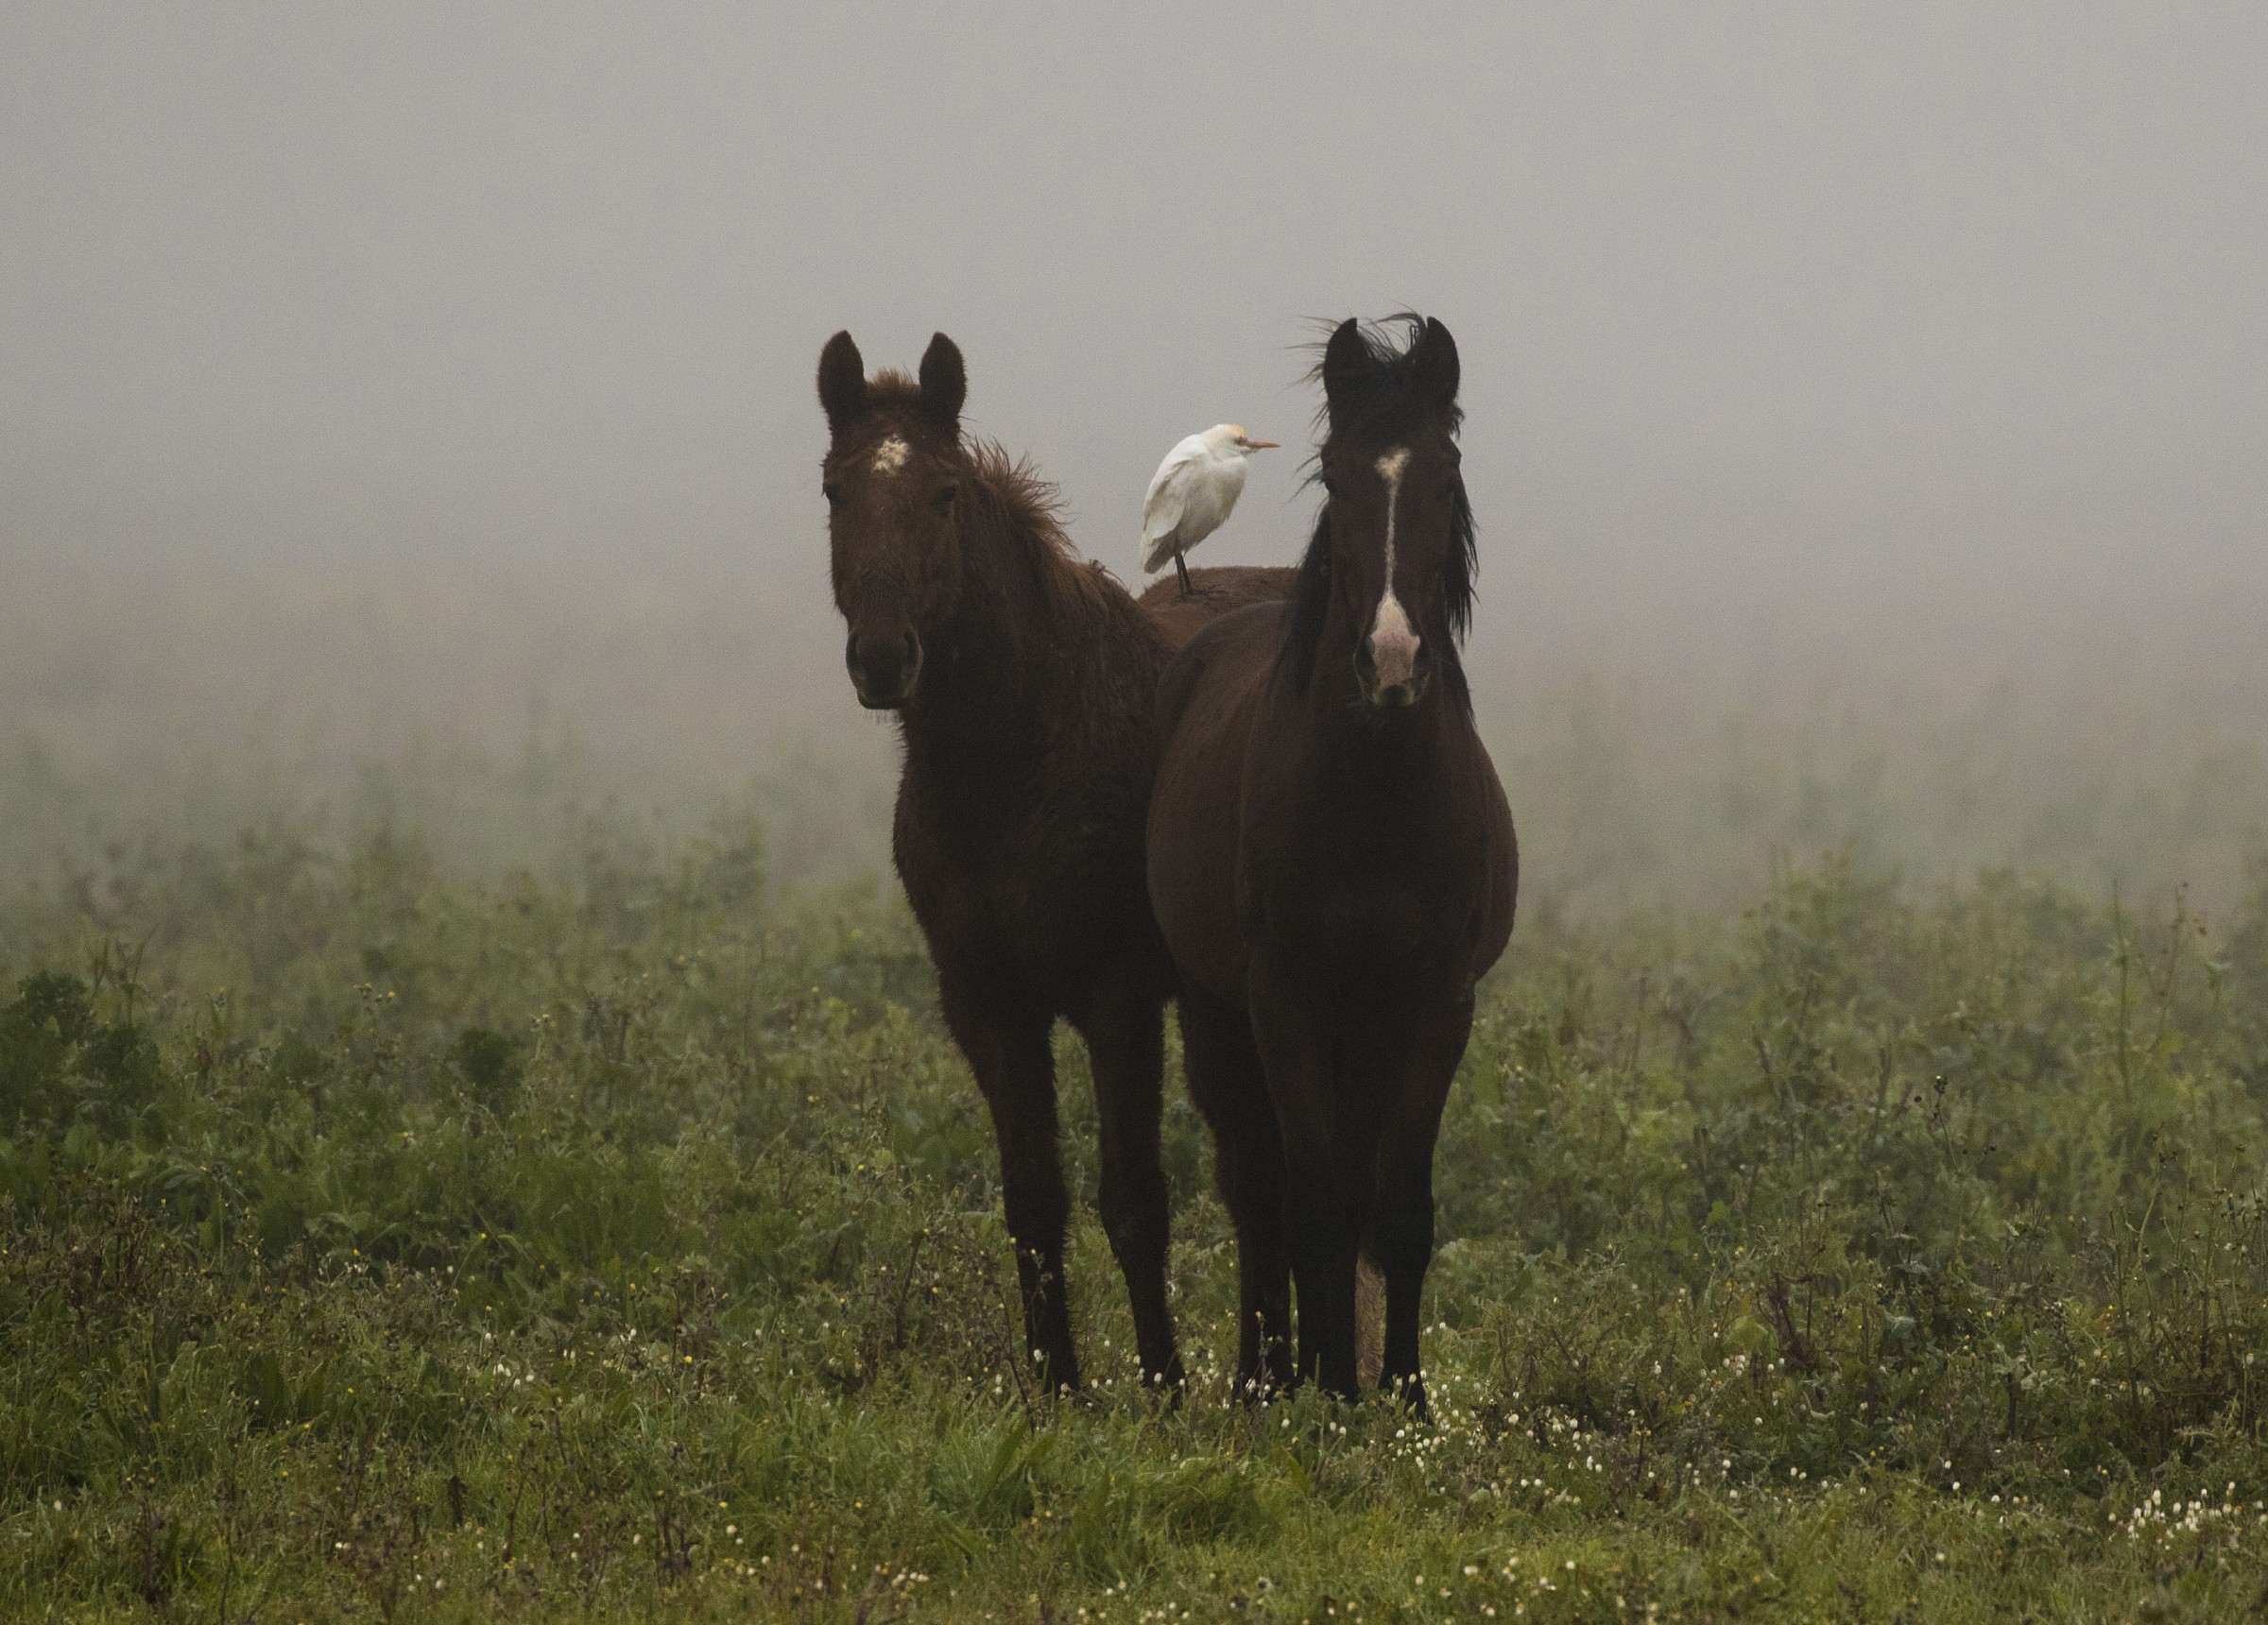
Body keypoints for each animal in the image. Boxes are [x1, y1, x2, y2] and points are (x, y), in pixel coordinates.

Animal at [816, 329, 1288, 1393]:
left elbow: (1134, 1198)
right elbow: (1033, 1199)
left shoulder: (1117, 995)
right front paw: (1057, 1388)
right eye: (832, 487)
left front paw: (1163, 1389)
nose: (882, 658)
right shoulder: (986, 1003)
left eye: (945, 491)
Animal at [1144, 315, 1517, 1412]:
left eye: (1445, 473)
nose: (1391, 664)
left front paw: (1401, 1396)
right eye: (1338, 478)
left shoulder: (1436, 1001)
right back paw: (1264, 1375)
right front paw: (1330, 1394)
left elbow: (1396, 1207)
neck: (1378, 801)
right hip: (1218, 1012)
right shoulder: (1285, 999)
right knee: (1256, 1187)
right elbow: (1307, 1201)